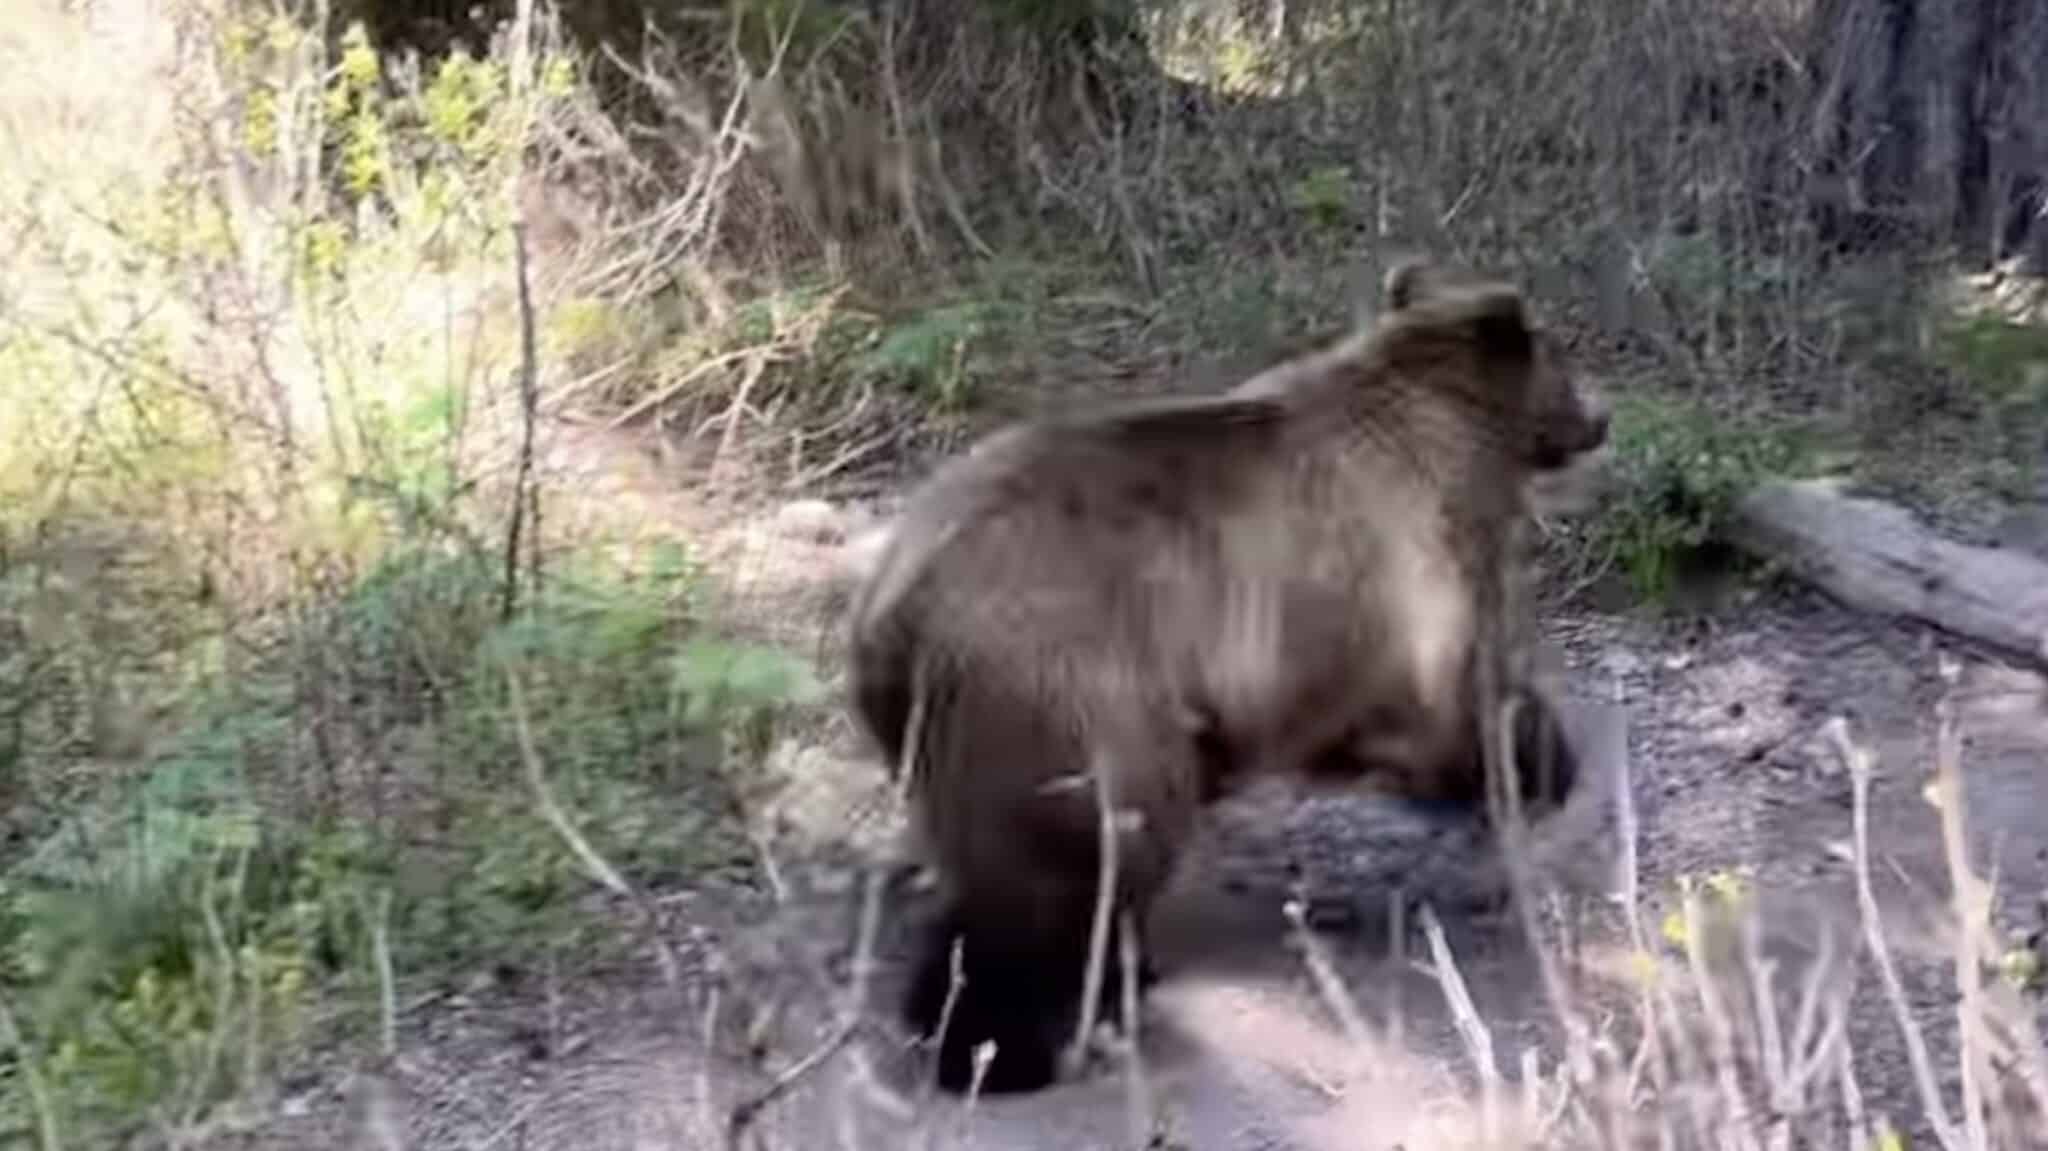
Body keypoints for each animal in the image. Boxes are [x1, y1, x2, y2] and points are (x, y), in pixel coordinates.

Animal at [844, 258, 1609, 1094]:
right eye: (1560, 353)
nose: (1602, 416)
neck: (1452, 436)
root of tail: (894, 601)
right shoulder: (1388, 587)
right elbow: (1452, 704)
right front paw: (1538, 761)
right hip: (1066, 683)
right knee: (1076, 860)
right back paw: (1004, 1042)